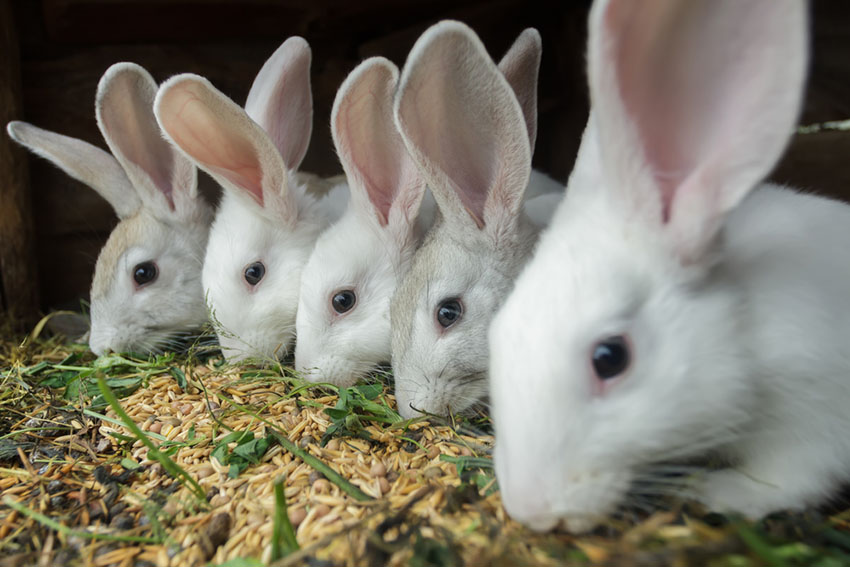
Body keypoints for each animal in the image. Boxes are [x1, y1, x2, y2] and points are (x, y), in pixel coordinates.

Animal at [484, 0, 848, 536]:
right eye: (499, 332)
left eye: (611, 357)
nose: (531, 509)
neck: (744, 331)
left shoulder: (816, 418)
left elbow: (792, 477)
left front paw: (722, 492)